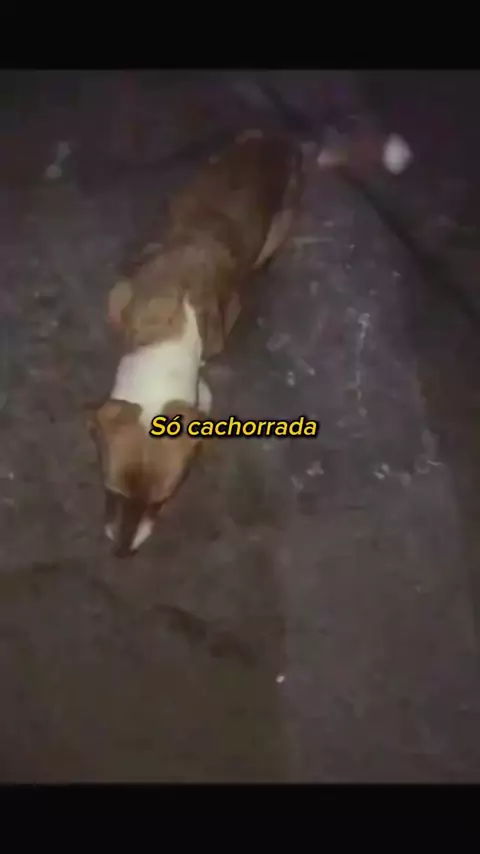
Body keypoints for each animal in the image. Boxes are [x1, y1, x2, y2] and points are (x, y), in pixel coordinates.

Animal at [86, 129, 303, 557]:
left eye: (160, 503)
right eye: (111, 492)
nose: (122, 553)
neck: (168, 339)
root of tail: (277, 139)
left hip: (279, 225)